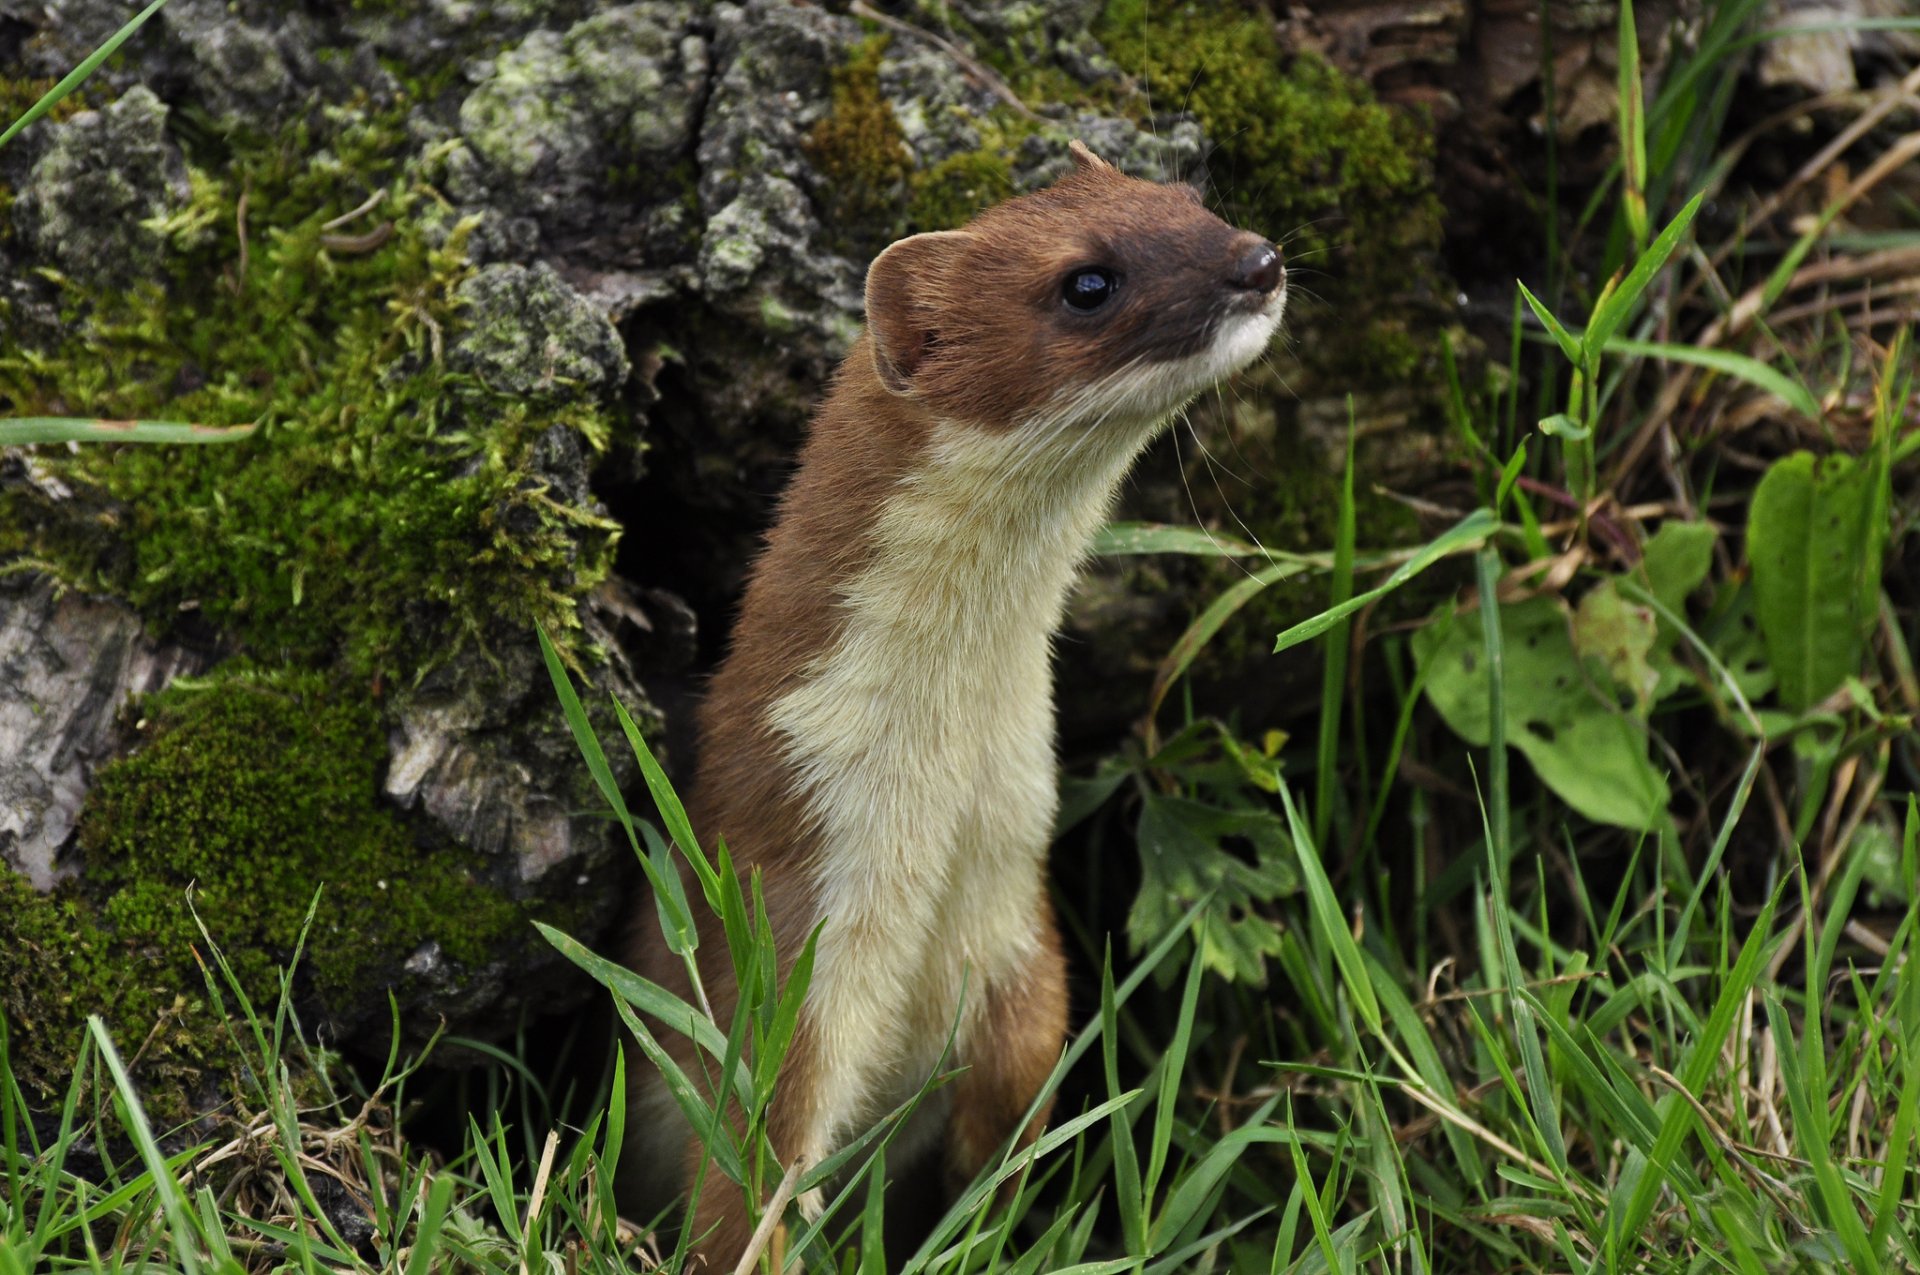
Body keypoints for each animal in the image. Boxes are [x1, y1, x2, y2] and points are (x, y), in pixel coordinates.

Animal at [629, 137, 1282, 1251]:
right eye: (1088, 282)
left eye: (1187, 195)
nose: (1260, 258)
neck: (941, 784)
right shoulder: (794, 907)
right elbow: (752, 1153)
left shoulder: (1013, 900)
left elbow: (1030, 1057)